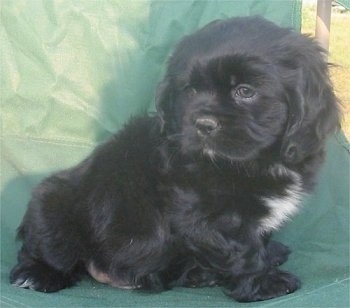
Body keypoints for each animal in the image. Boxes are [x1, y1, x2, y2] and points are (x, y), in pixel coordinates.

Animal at [10, 16, 340, 300]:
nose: (203, 124)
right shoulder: (205, 213)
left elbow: (258, 239)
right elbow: (243, 248)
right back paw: (36, 274)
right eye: (190, 90)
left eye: (245, 91)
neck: (255, 161)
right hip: (51, 200)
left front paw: (271, 256)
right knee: (47, 246)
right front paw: (265, 283)